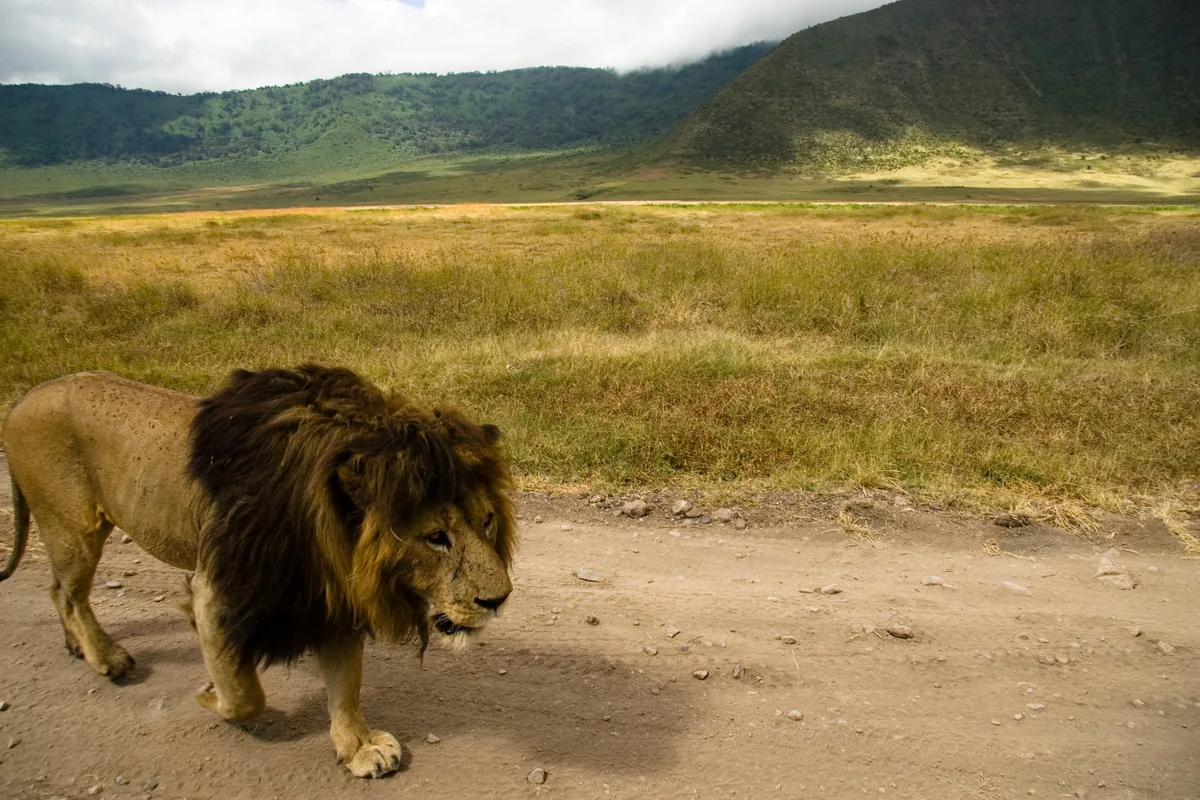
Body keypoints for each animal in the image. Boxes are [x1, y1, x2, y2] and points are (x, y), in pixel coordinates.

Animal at [1, 365, 515, 778]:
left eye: (487, 520)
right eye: (436, 537)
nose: (499, 599)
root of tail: (24, 396)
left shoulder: (330, 596)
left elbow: (346, 686)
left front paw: (358, 748)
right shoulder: (217, 592)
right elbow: (246, 695)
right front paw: (210, 693)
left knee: (56, 590)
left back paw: (77, 646)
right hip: (74, 528)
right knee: (70, 594)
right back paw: (107, 658)